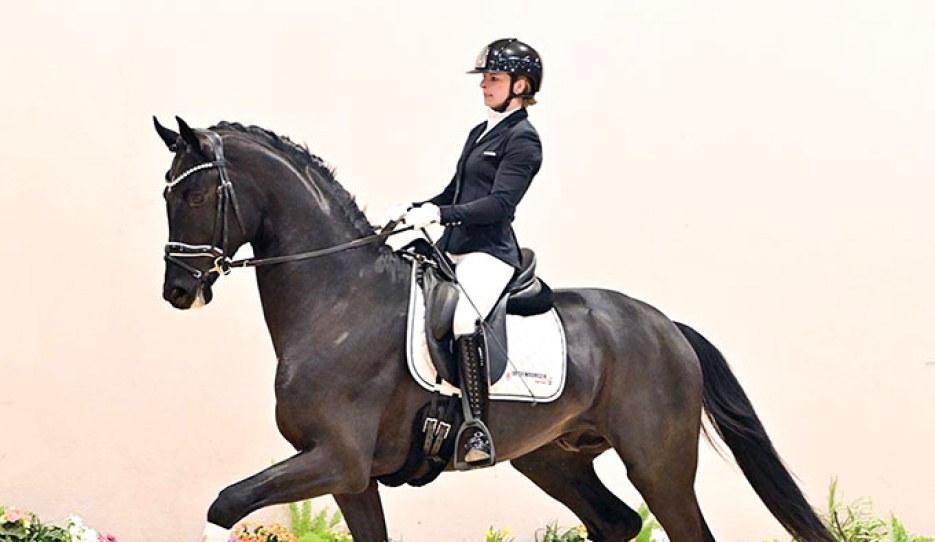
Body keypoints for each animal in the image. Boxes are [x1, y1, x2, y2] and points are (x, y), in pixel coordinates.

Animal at [153, 116, 834, 542]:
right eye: (166, 194)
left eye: (196, 197)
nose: (178, 292)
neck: (338, 303)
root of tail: (665, 325)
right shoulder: (351, 477)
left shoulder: (337, 460)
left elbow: (224, 504)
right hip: (553, 458)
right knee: (615, 522)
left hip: (658, 463)